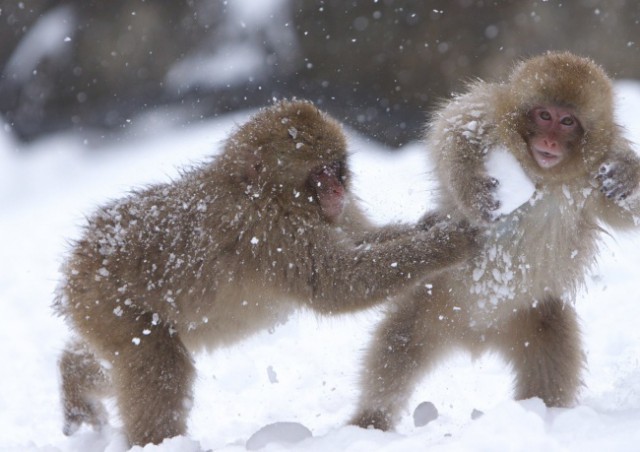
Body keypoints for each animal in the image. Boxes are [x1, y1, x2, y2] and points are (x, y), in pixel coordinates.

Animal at [55, 99, 478, 444]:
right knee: (158, 364)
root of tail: (78, 261)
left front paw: (427, 225)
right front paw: (446, 245)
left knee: (117, 361)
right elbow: (336, 285)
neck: (270, 195)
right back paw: (155, 441)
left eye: (336, 170)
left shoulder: (332, 217)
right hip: (107, 301)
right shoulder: (270, 235)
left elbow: (362, 239)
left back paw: (74, 377)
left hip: (101, 314)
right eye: (319, 175)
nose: (337, 192)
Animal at [352, 52, 640, 430]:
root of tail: (477, 336)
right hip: (432, 300)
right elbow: (452, 129)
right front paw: (475, 194)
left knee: (553, 354)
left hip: (534, 316)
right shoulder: (486, 112)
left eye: (567, 122)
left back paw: (542, 414)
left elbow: (628, 211)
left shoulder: (594, 180)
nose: (549, 142)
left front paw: (629, 172)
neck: (540, 175)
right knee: (398, 347)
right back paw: (371, 419)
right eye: (544, 116)